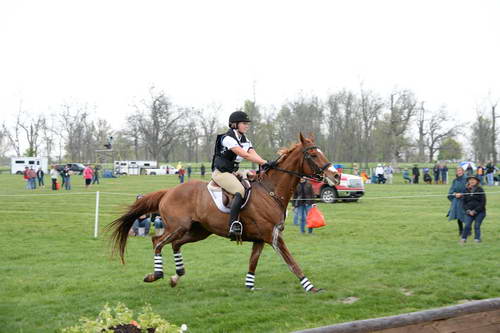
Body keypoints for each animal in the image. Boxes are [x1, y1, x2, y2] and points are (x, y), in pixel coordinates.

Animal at [109, 134, 340, 292]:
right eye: (313, 154)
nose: (336, 176)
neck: (270, 191)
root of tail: (168, 191)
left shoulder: (260, 238)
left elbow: (253, 262)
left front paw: (249, 286)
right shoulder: (272, 236)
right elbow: (292, 262)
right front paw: (310, 287)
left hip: (199, 231)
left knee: (175, 244)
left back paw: (177, 276)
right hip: (178, 226)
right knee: (157, 241)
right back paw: (156, 274)